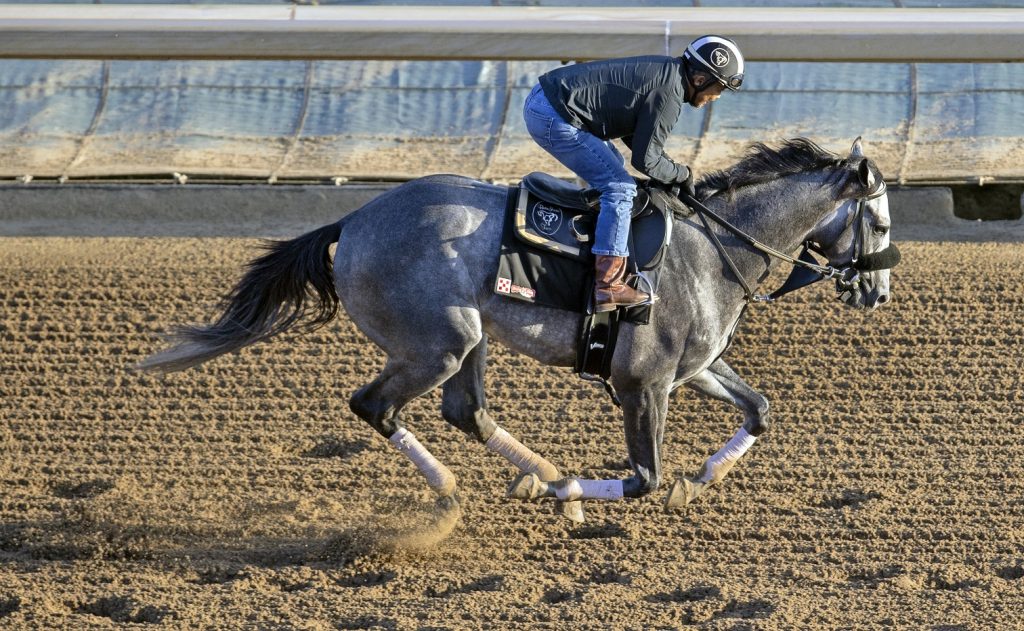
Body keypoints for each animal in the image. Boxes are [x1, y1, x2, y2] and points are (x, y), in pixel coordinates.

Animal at [142, 137, 897, 522]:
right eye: (884, 223)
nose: (878, 291)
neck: (710, 247)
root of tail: (352, 221)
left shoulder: (695, 368)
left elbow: (759, 409)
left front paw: (697, 480)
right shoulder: (643, 382)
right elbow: (643, 478)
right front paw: (582, 496)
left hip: (469, 339)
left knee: (466, 411)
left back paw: (539, 475)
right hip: (437, 342)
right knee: (375, 405)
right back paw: (465, 487)